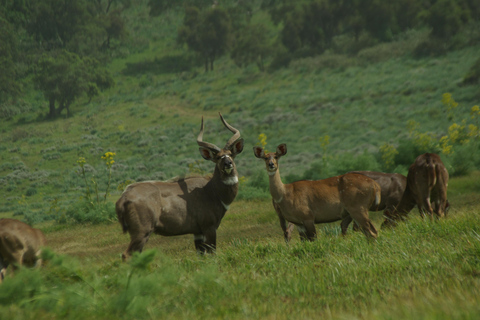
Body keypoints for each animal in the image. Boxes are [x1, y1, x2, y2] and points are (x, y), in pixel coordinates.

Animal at [115, 112, 244, 260]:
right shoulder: (209, 228)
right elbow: (212, 253)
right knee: (127, 255)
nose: (228, 163)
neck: (211, 191)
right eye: (218, 157)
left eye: (230, 155)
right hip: (142, 233)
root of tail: (123, 198)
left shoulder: (197, 233)